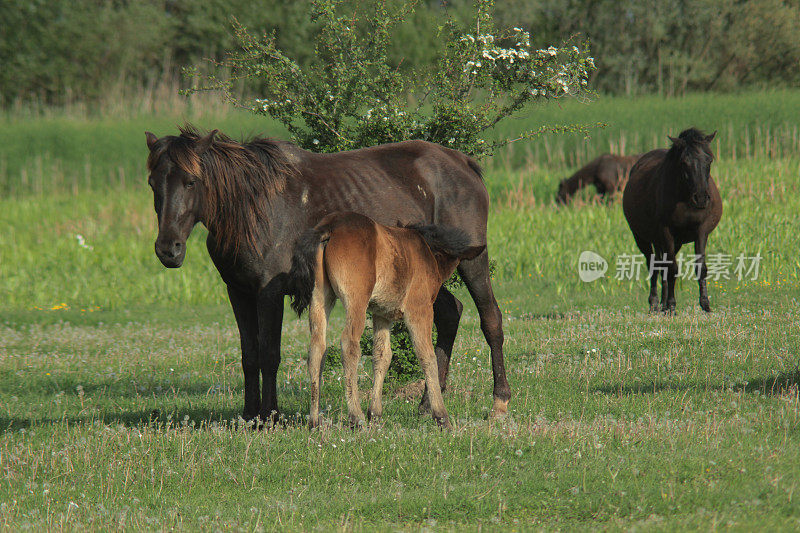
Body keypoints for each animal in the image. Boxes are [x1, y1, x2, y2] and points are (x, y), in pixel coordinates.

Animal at [290, 211, 488, 428]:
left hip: (319, 298)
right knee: (349, 345)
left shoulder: (381, 314)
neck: (426, 251)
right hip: (356, 302)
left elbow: (382, 356)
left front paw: (375, 413)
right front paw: (441, 416)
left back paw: (314, 420)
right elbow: (427, 356)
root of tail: (330, 226)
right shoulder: (419, 310)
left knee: (317, 347)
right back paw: (356, 417)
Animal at [620, 128, 720, 312]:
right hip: (642, 238)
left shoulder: (702, 230)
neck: (685, 198)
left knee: (662, 266)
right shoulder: (666, 232)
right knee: (654, 265)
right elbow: (672, 269)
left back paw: (663, 303)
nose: (701, 198)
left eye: (709, 160)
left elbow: (700, 267)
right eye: (684, 162)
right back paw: (655, 303)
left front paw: (705, 304)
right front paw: (672, 306)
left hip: (673, 242)